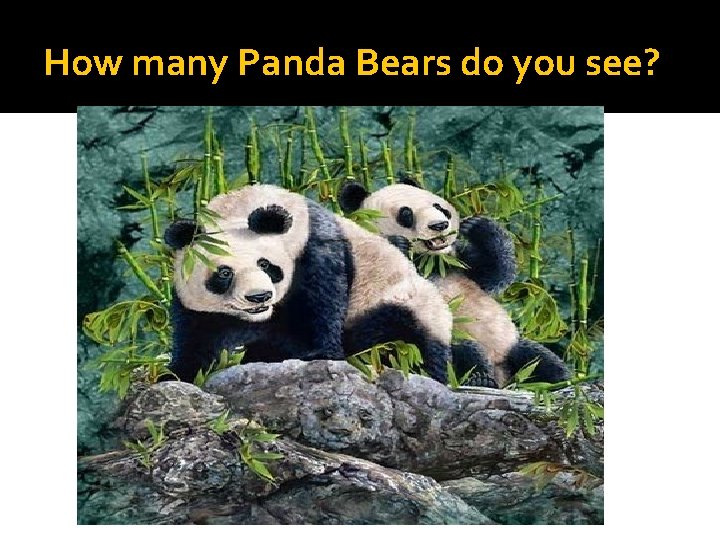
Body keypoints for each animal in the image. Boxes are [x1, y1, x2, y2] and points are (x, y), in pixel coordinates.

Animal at [163, 184, 468, 385]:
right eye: (224, 273)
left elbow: (319, 307)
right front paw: (178, 373)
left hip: (402, 305)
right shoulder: (195, 305)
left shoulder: (314, 249)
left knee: (408, 342)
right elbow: (196, 336)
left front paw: (309, 354)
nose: (259, 297)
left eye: (266, 265)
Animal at [339, 179, 570, 387]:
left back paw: (560, 379)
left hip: (509, 346)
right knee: (462, 351)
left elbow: (495, 271)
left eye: (439, 207)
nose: (439, 225)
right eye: (406, 214)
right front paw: (399, 244)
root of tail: (504, 376)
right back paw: (480, 377)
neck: (427, 261)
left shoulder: (456, 263)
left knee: (538, 358)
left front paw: (476, 226)